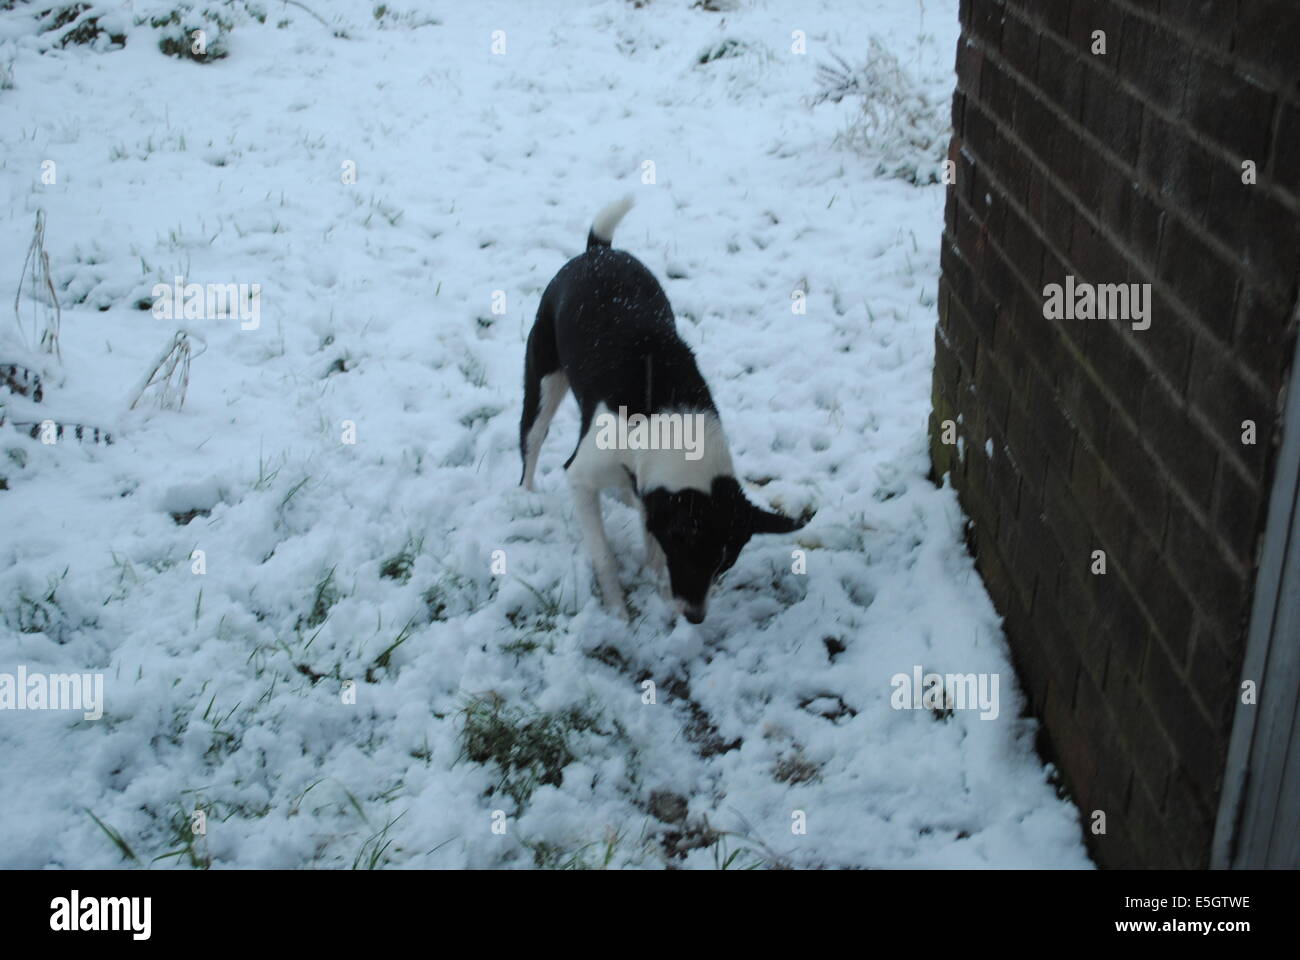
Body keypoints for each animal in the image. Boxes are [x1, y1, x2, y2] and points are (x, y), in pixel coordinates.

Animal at [514, 197, 800, 624]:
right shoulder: (581, 476)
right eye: (688, 555)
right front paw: (619, 612)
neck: (665, 420)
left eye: (724, 564)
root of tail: (598, 252)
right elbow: (604, 555)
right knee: (531, 440)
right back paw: (527, 497)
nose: (695, 617)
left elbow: (647, 526)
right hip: (543, 380)